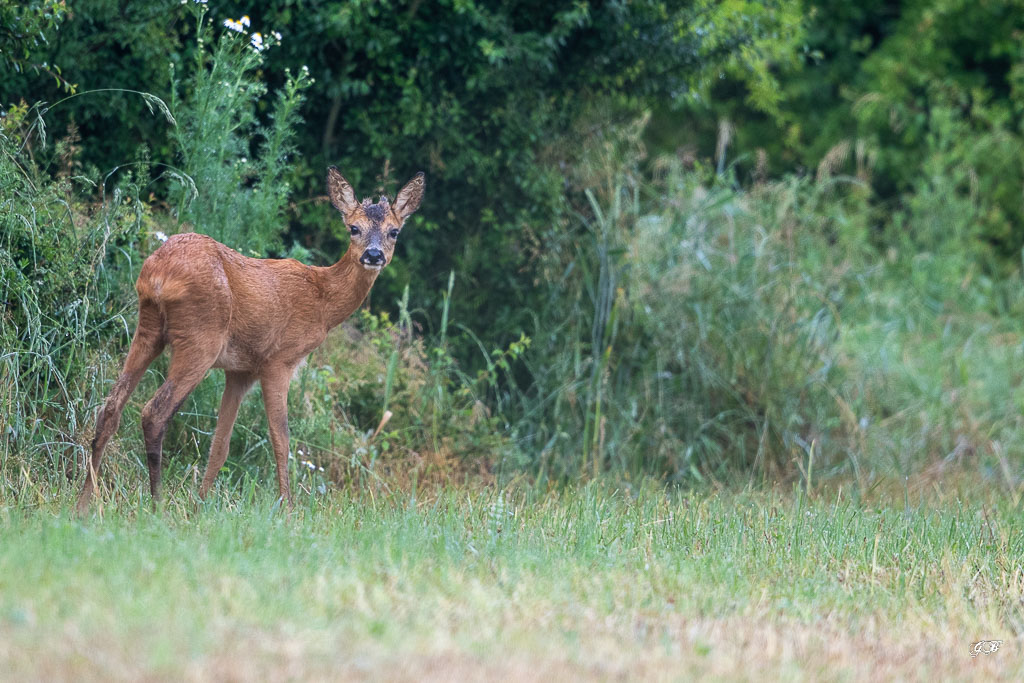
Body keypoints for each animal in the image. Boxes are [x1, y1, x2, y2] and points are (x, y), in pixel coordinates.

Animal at [76, 167, 424, 514]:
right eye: (354, 228)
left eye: (394, 232)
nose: (374, 255)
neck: (322, 301)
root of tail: (158, 273)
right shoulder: (278, 360)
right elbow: (281, 439)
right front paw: (287, 508)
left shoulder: (240, 371)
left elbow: (220, 445)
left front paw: (199, 504)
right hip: (200, 336)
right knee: (154, 412)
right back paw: (157, 503)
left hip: (147, 327)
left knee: (110, 407)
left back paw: (84, 503)